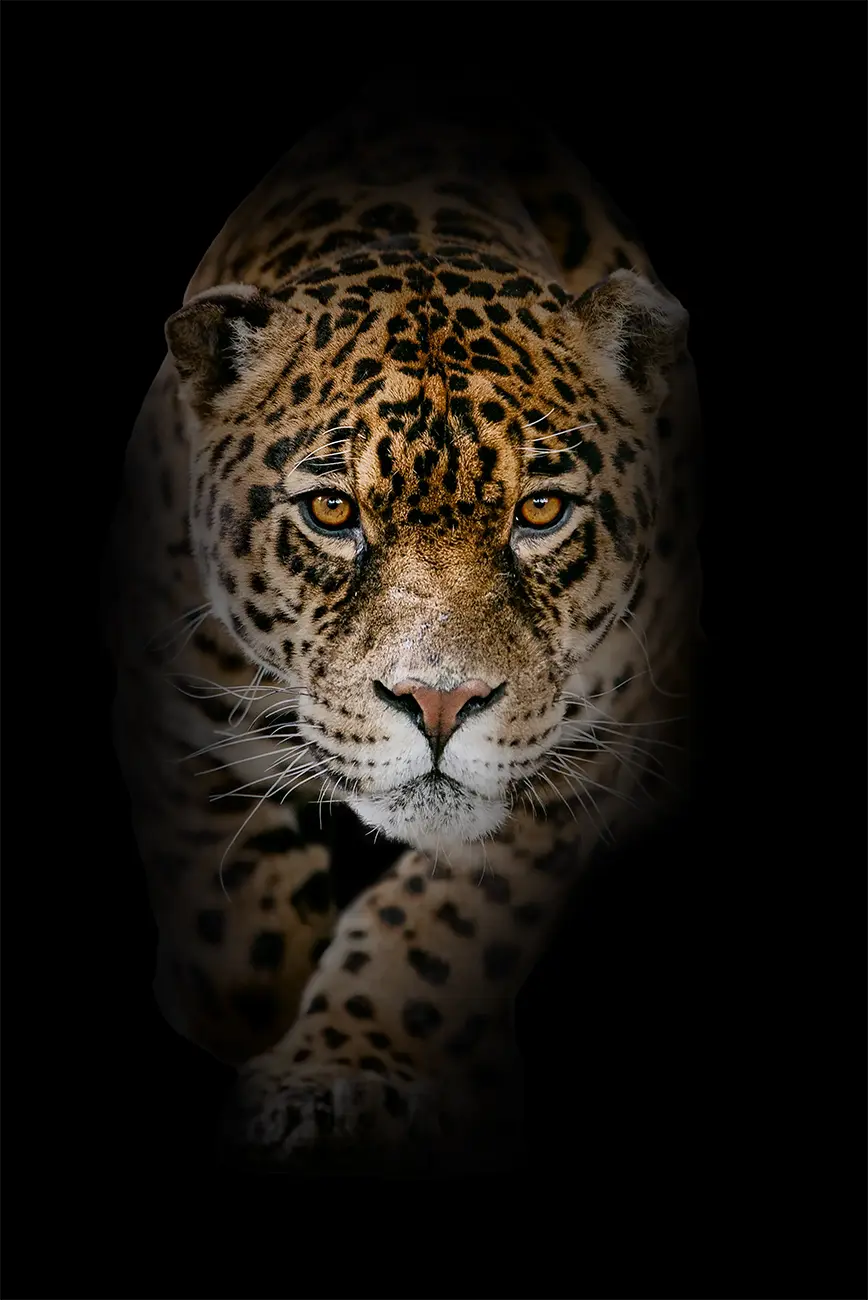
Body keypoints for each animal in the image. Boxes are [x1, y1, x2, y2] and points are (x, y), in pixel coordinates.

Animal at [107, 105, 702, 1175]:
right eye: (333, 511)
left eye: (540, 510)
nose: (438, 702)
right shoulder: (165, 682)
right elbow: (227, 925)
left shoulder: (582, 750)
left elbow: (444, 924)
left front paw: (343, 1076)